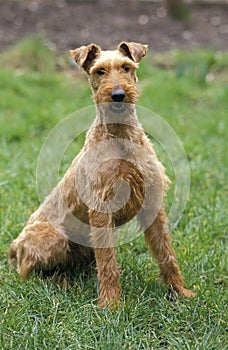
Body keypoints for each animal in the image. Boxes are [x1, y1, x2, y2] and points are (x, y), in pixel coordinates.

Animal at [8, 42, 194, 308]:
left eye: (127, 67)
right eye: (99, 71)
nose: (118, 95)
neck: (120, 137)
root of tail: (13, 246)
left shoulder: (152, 203)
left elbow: (166, 253)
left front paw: (180, 291)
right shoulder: (101, 208)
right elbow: (108, 263)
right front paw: (111, 305)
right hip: (54, 238)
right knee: (27, 272)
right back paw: (60, 283)